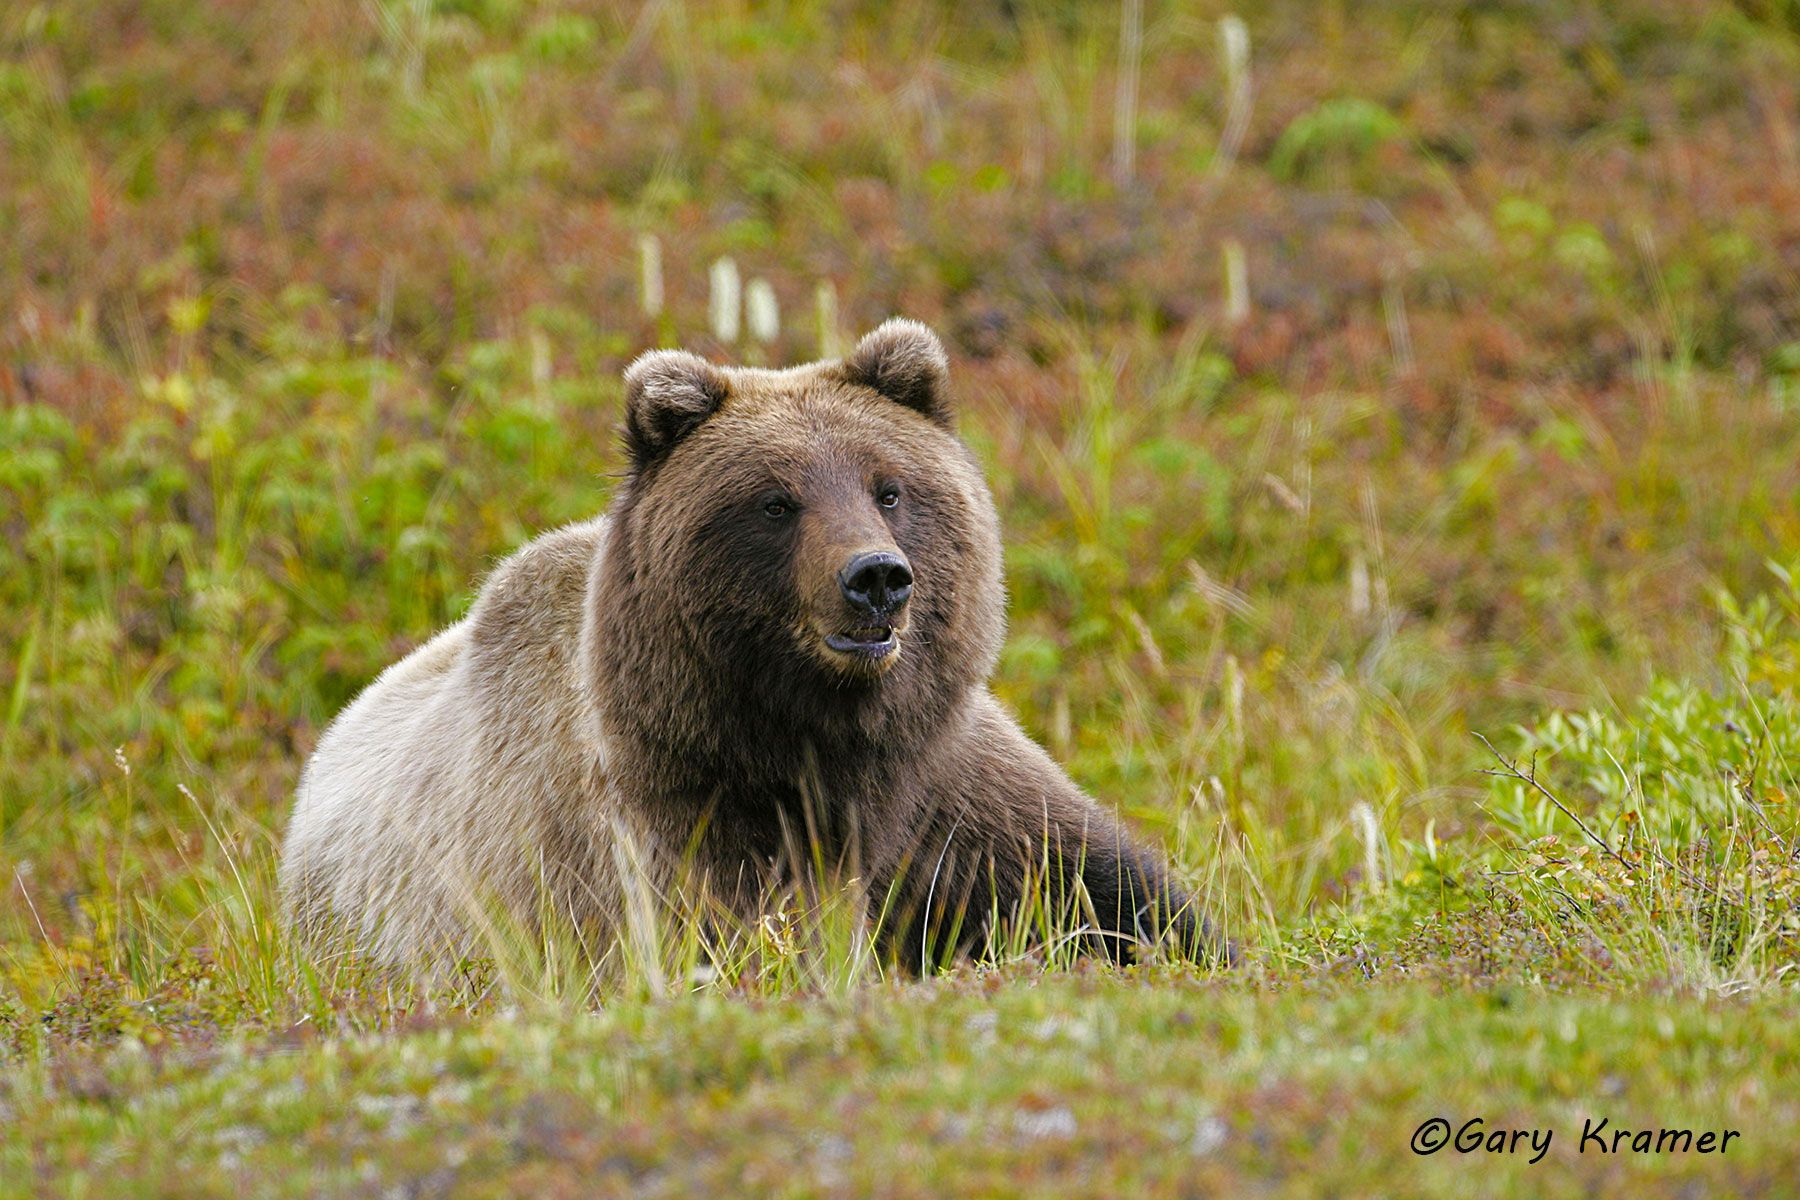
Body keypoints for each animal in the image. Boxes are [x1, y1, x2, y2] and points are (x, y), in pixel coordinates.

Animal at [279, 320, 1219, 971]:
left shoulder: (949, 793)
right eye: (776, 501)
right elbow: (746, 940)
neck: (819, 740)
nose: (876, 578)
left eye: (889, 488)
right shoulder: (676, 822)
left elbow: (1106, 894)